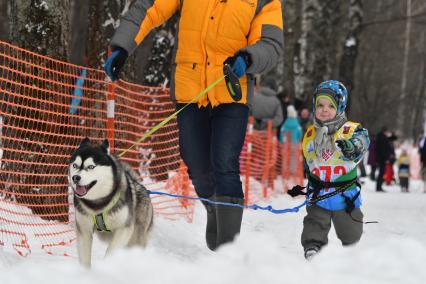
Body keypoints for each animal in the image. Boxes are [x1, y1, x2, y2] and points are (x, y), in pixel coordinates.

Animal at [67, 139, 152, 268]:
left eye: (91, 166)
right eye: (75, 165)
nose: (75, 177)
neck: (98, 204)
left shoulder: (124, 229)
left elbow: (111, 251)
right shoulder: (84, 230)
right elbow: (85, 258)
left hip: (136, 236)